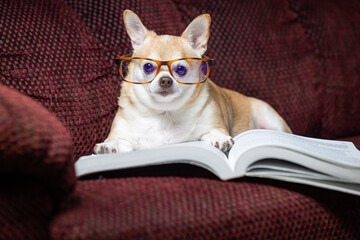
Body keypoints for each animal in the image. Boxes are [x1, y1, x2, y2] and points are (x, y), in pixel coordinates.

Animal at [94, 10, 292, 153]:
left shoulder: (214, 123)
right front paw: (108, 145)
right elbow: (117, 140)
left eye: (181, 69)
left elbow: (214, 131)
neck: (165, 112)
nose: (165, 80)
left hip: (270, 118)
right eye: (148, 67)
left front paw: (219, 138)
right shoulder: (123, 133)